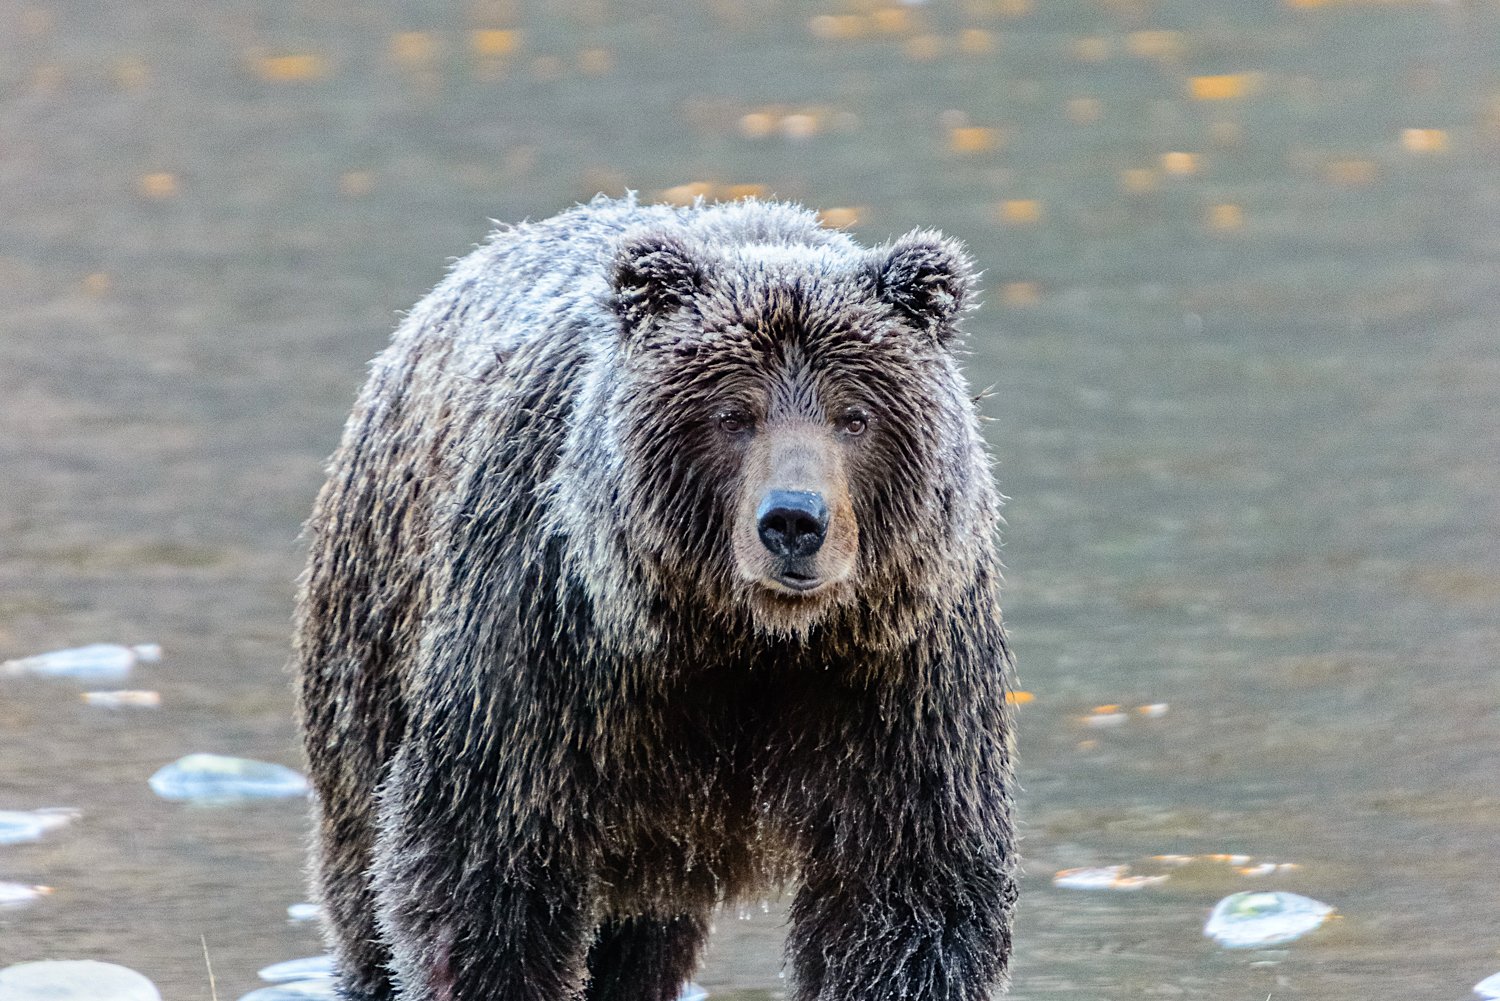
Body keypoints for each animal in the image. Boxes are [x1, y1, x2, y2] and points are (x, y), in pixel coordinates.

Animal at [295, 195, 1020, 1001]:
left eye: (855, 415)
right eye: (733, 414)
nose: (794, 520)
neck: (745, 636)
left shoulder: (897, 672)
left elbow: (906, 888)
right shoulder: (551, 651)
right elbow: (480, 867)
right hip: (373, 643)